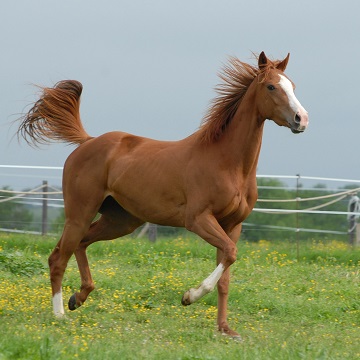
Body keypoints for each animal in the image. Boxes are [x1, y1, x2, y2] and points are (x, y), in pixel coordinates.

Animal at [16, 52, 308, 338]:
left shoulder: (232, 225)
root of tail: (87, 142)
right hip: (80, 213)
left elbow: (226, 272)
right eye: (271, 86)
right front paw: (189, 296)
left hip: (120, 221)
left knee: (81, 244)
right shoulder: (198, 220)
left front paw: (225, 329)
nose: (301, 119)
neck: (227, 163)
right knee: (58, 257)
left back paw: (78, 298)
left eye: (293, 86)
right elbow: (230, 254)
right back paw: (59, 314)